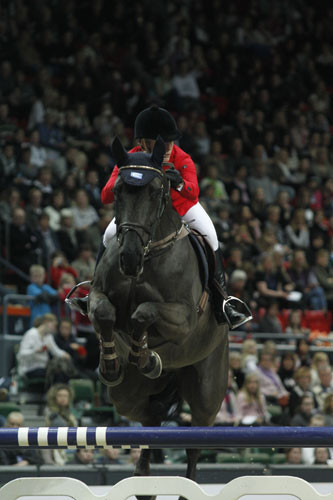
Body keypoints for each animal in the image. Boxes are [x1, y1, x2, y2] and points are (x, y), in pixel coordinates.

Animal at [87, 136, 228, 496]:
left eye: (155, 192)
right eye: (118, 190)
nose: (129, 258)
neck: (149, 253)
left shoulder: (183, 318)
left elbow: (143, 312)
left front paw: (146, 355)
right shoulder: (97, 295)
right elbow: (106, 312)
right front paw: (112, 363)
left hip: (206, 389)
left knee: (195, 442)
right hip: (128, 395)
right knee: (149, 420)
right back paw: (144, 480)